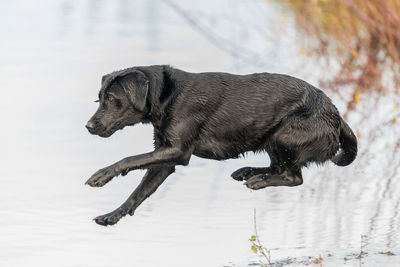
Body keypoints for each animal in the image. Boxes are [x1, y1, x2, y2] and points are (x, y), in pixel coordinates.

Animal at [85, 65, 356, 226]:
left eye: (112, 99)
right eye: (99, 99)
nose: (88, 126)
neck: (165, 94)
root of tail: (336, 115)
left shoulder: (177, 151)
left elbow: (128, 160)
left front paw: (101, 176)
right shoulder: (165, 157)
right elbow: (138, 193)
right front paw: (113, 215)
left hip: (285, 133)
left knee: (293, 177)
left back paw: (258, 180)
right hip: (271, 137)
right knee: (279, 168)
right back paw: (248, 172)